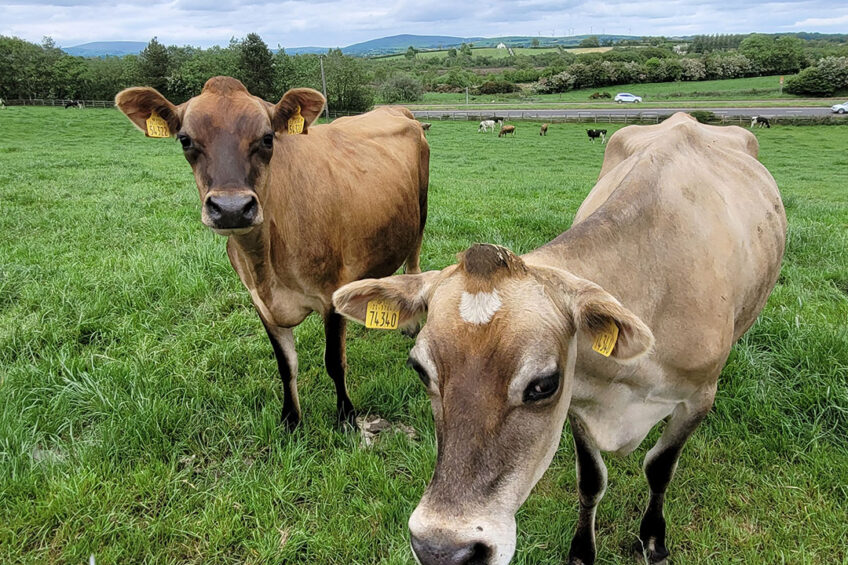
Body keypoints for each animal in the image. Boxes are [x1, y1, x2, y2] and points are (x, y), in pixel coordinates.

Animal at [114, 76, 430, 428]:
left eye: (267, 138)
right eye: (185, 140)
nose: (232, 208)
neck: (266, 264)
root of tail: (395, 110)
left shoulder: (330, 294)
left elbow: (334, 361)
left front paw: (346, 416)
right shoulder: (260, 303)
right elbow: (285, 364)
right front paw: (290, 419)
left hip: (420, 214)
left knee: (413, 264)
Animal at [334, 111, 784, 564]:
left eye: (543, 384)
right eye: (420, 370)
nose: (442, 550)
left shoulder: (697, 397)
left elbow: (659, 468)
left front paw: (654, 540)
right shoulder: (579, 404)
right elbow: (591, 480)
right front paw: (582, 550)